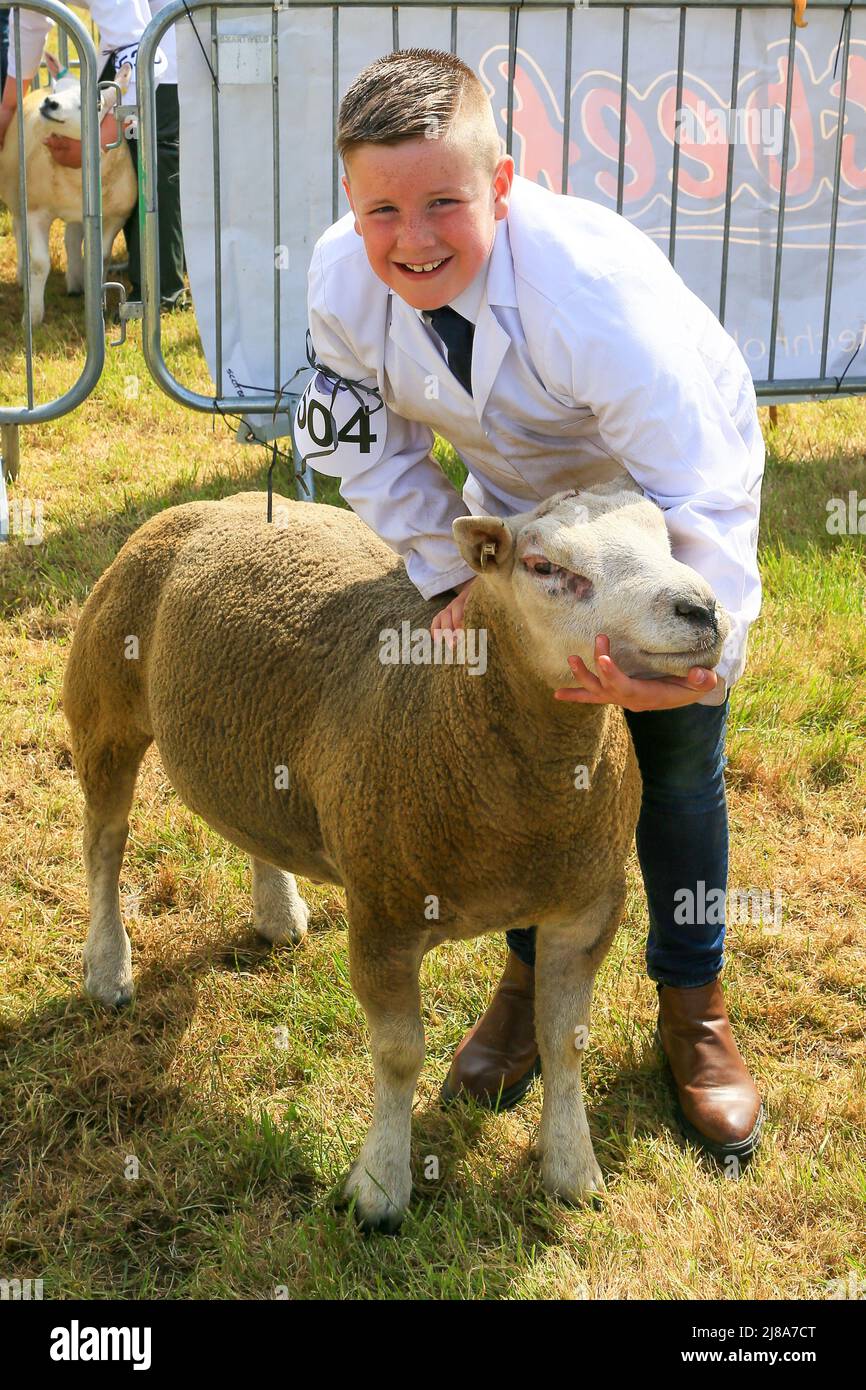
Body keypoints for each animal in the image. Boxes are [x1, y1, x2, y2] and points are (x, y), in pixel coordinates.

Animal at [0, 63, 135, 325]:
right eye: (57, 88)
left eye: (98, 103)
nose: (50, 102)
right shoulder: (36, 211)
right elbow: (40, 264)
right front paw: (32, 316)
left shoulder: (115, 218)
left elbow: (101, 258)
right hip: (16, 192)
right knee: (19, 228)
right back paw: (23, 276)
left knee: (71, 238)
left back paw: (75, 283)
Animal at [62, 475, 733, 1228]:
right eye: (543, 567)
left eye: (667, 536)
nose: (701, 609)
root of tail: (210, 505)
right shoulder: (384, 913)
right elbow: (398, 1054)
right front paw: (380, 1189)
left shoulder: (585, 909)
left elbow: (565, 1041)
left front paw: (571, 1170)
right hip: (102, 706)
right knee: (104, 842)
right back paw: (108, 968)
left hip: (251, 746)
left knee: (248, 821)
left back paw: (276, 911)